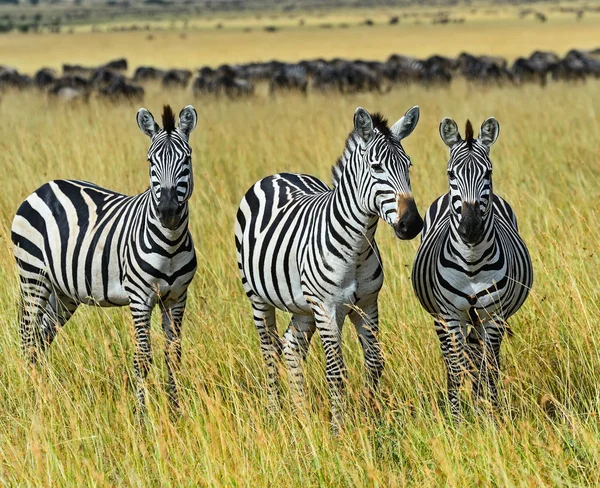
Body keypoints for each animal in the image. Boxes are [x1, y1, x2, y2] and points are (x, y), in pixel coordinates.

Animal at [11, 105, 199, 414]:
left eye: (186, 159)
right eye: (150, 161)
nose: (168, 211)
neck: (170, 243)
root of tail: (44, 187)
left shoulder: (177, 298)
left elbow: (174, 355)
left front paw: (175, 412)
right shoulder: (140, 298)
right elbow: (142, 358)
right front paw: (141, 416)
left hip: (63, 292)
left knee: (42, 336)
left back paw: (43, 394)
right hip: (32, 276)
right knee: (27, 337)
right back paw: (29, 396)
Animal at [234, 104, 422, 430]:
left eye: (408, 166)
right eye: (376, 168)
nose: (411, 224)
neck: (357, 248)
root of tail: (278, 174)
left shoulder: (368, 304)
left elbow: (375, 362)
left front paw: (371, 418)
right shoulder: (327, 308)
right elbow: (336, 371)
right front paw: (339, 429)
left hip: (302, 306)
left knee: (291, 348)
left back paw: (302, 415)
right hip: (258, 296)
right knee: (269, 350)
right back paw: (274, 412)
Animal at [412, 117, 536, 416]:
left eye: (488, 173)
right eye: (450, 174)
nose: (470, 229)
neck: (470, 261)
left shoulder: (494, 315)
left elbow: (489, 368)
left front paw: (492, 415)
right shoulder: (451, 315)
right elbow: (457, 368)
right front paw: (456, 418)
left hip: (482, 320)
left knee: (479, 358)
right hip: (441, 318)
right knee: (452, 359)